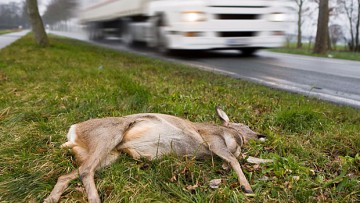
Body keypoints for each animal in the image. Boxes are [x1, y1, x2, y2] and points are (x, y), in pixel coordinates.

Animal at [44, 107, 268, 202]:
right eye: (244, 125)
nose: (261, 135)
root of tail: (73, 133)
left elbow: (233, 159)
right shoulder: (213, 139)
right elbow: (234, 159)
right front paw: (247, 187)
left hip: (110, 155)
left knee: (69, 174)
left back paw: (50, 199)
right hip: (110, 135)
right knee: (85, 171)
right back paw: (95, 199)